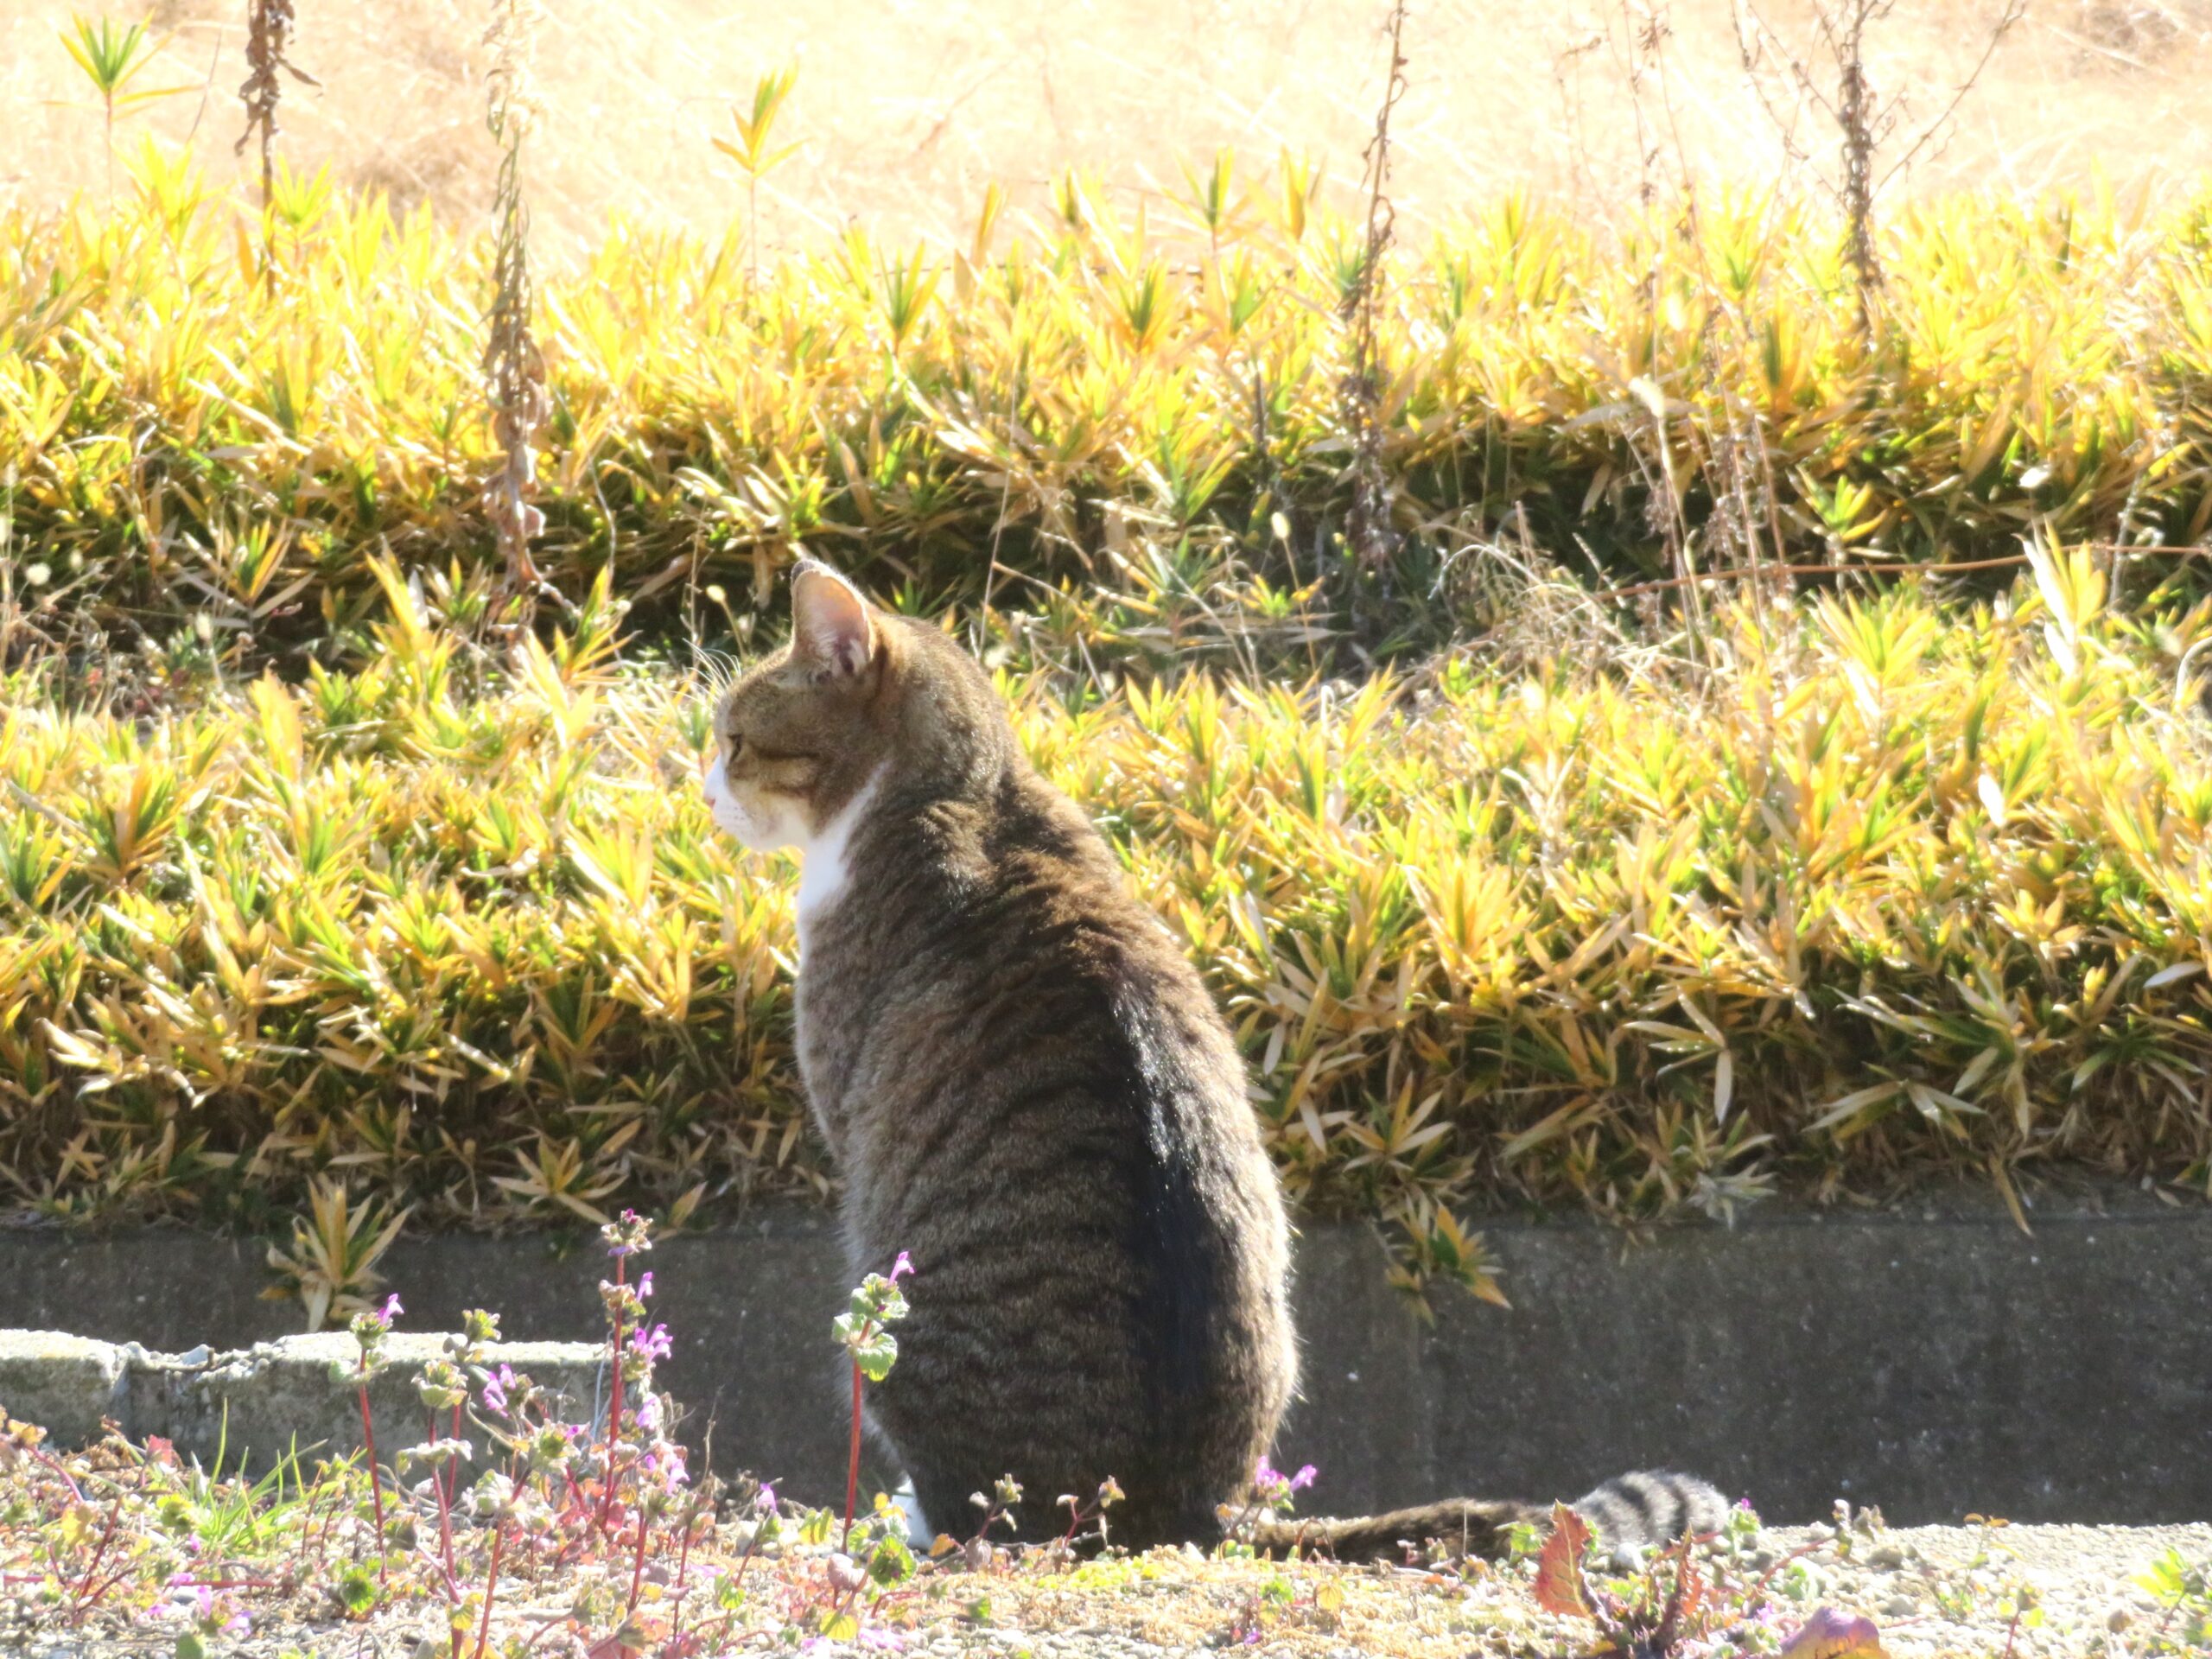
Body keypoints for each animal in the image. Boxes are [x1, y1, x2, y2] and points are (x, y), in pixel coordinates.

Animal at [703, 566, 1725, 1566]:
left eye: (735, 738)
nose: (704, 792)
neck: (969, 796)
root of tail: (1196, 1513)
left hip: (894, 1334)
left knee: (973, 1511)